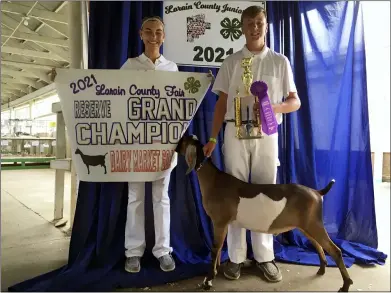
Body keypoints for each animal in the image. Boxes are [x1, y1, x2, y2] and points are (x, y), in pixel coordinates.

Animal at [176, 136, 354, 290]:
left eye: (184, 140)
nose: (175, 146)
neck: (214, 180)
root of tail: (317, 192)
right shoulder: (222, 224)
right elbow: (219, 249)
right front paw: (216, 270)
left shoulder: (219, 222)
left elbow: (214, 249)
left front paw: (208, 280)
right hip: (306, 226)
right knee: (318, 245)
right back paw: (322, 269)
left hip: (314, 225)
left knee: (335, 251)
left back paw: (346, 285)